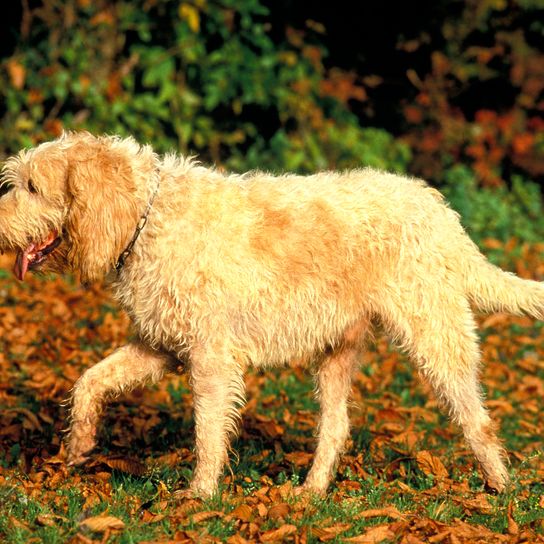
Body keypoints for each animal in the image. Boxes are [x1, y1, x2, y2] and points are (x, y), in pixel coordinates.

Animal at [1, 132, 544, 498]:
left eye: (32, 186)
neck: (149, 216)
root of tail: (441, 214)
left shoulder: (210, 359)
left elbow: (207, 431)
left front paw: (199, 495)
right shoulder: (160, 346)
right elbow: (89, 382)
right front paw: (77, 447)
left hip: (436, 338)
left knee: (478, 421)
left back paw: (501, 491)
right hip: (336, 354)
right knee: (336, 427)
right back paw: (311, 493)